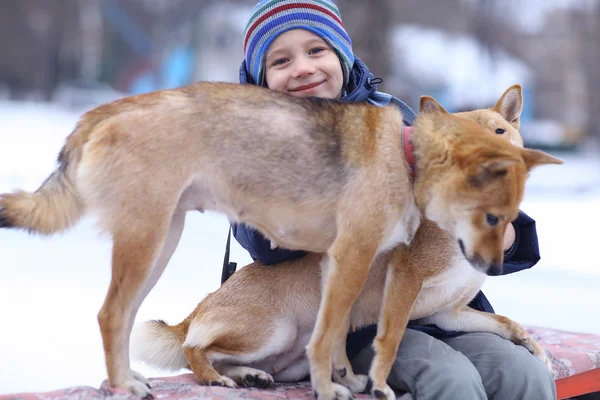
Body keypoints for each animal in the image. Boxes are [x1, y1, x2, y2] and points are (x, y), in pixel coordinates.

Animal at [1, 83, 564, 398]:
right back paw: (158, 382)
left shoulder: (445, 311)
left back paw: (248, 378)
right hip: (239, 305)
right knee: (167, 337)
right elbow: (383, 341)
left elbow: (506, 323)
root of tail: (113, 107)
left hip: (169, 245)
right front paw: (370, 384)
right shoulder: (391, 279)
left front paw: (535, 348)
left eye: (501, 131)